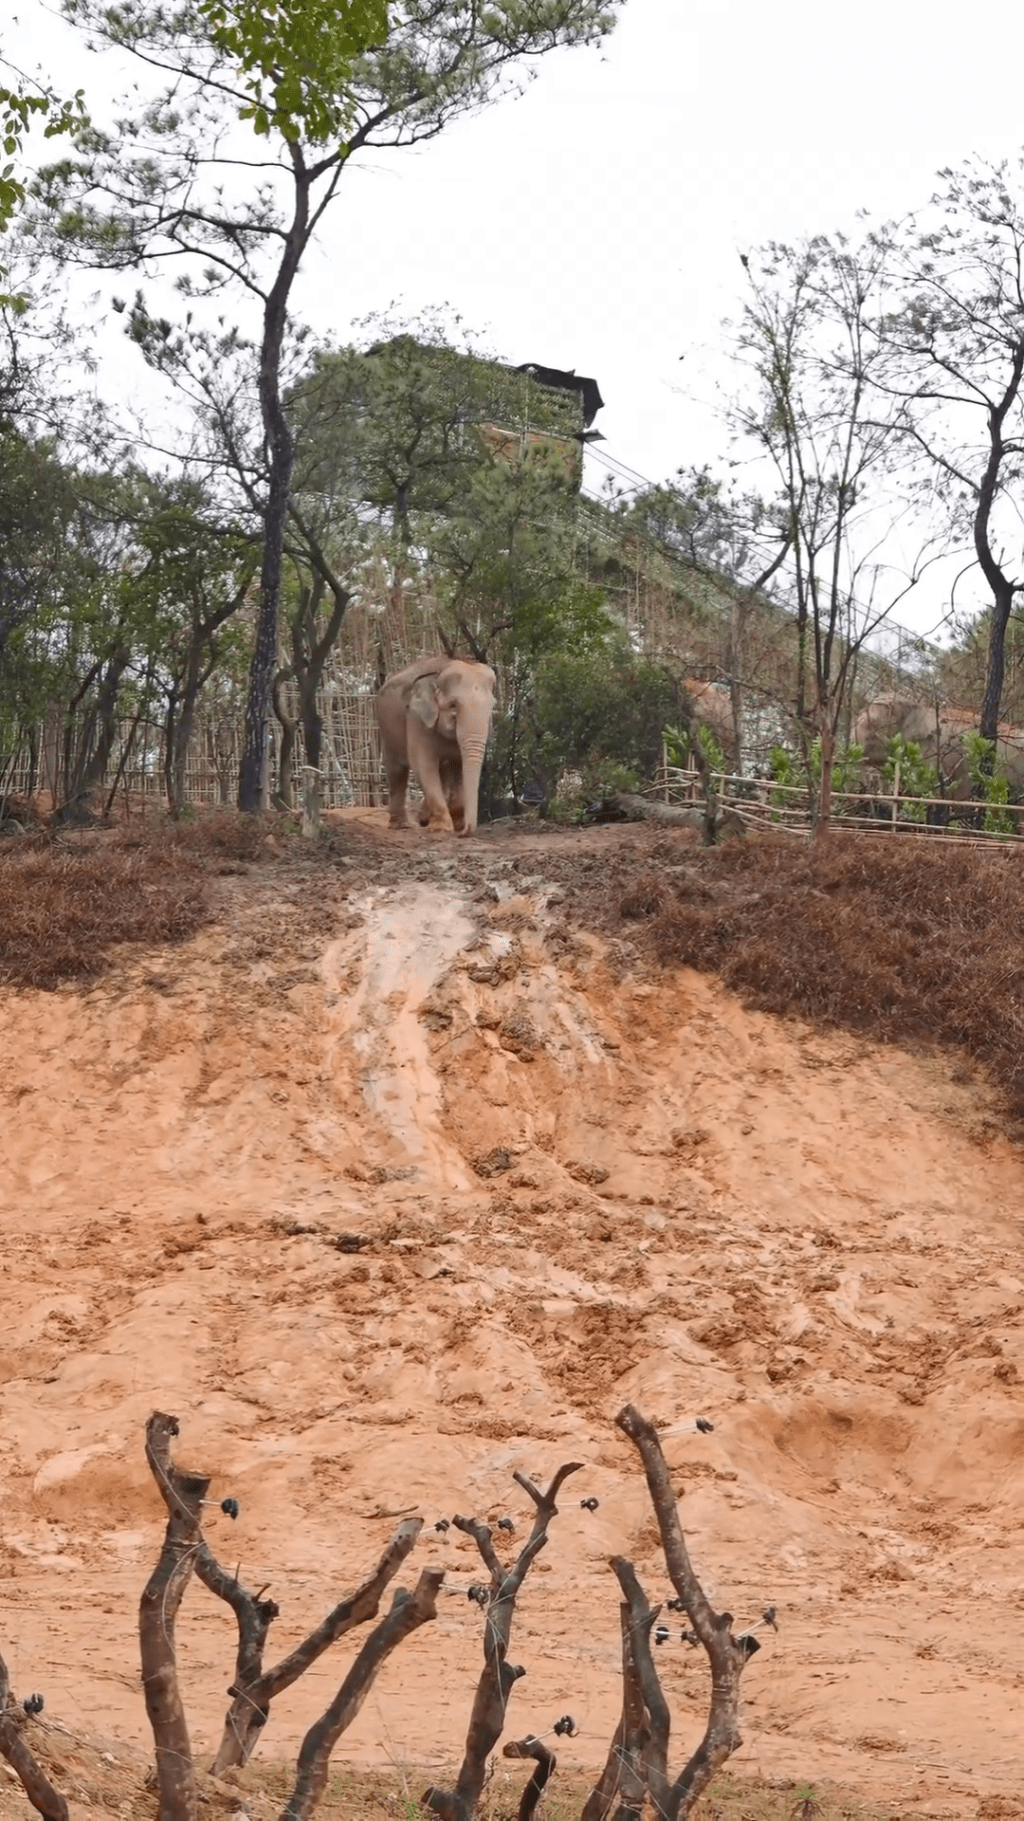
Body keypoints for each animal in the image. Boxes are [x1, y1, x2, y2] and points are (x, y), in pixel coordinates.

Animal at [375, 655, 495, 837]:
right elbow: (424, 765)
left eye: (492, 707)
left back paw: (422, 819)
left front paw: (454, 822)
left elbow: (458, 767)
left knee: (443, 770)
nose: (463, 832)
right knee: (397, 772)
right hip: (386, 727)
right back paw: (403, 825)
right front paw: (442, 828)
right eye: (453, 705)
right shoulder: (416, 719)